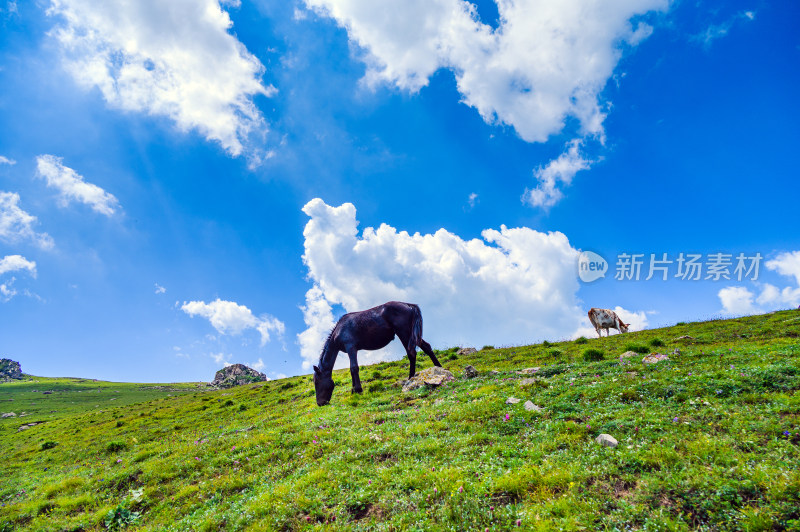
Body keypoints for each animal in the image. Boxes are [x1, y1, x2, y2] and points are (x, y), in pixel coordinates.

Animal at [312, 302, 440, 406]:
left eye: (316, 382)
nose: (320, 403)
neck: (339, 331)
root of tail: (409, 305)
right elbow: (352, 370)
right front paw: (354, 391)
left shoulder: (351, 348)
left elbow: (354, 368)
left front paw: (358, 390)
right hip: (412, 336)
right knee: (427, 347)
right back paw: (438, 367)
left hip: (404, 334)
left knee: (411, 354)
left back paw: (410, 378)